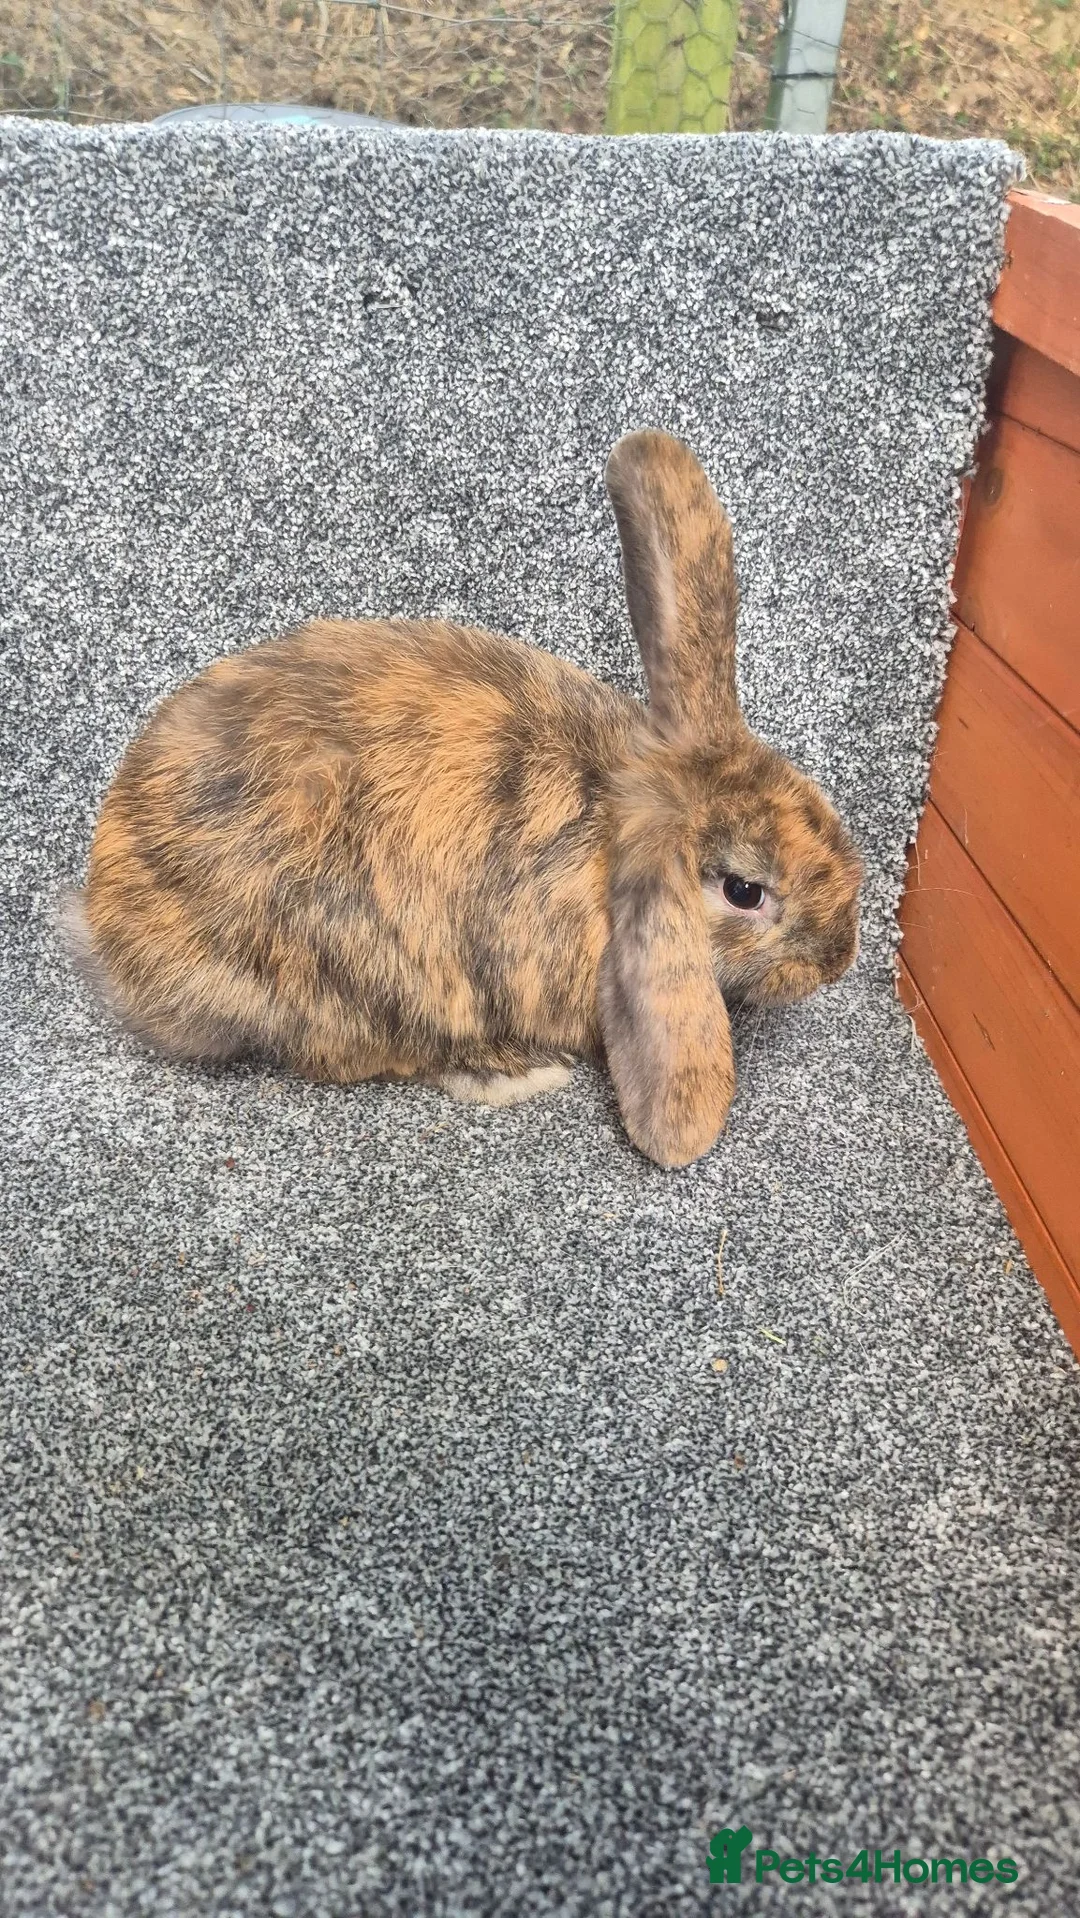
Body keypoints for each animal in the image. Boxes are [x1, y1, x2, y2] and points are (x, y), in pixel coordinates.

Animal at [65, 430, 862, 1168]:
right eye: (744, 891)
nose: (838, 960)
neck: (614, 826)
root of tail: (108, 924)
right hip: (350, 965)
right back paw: (511, 1070)